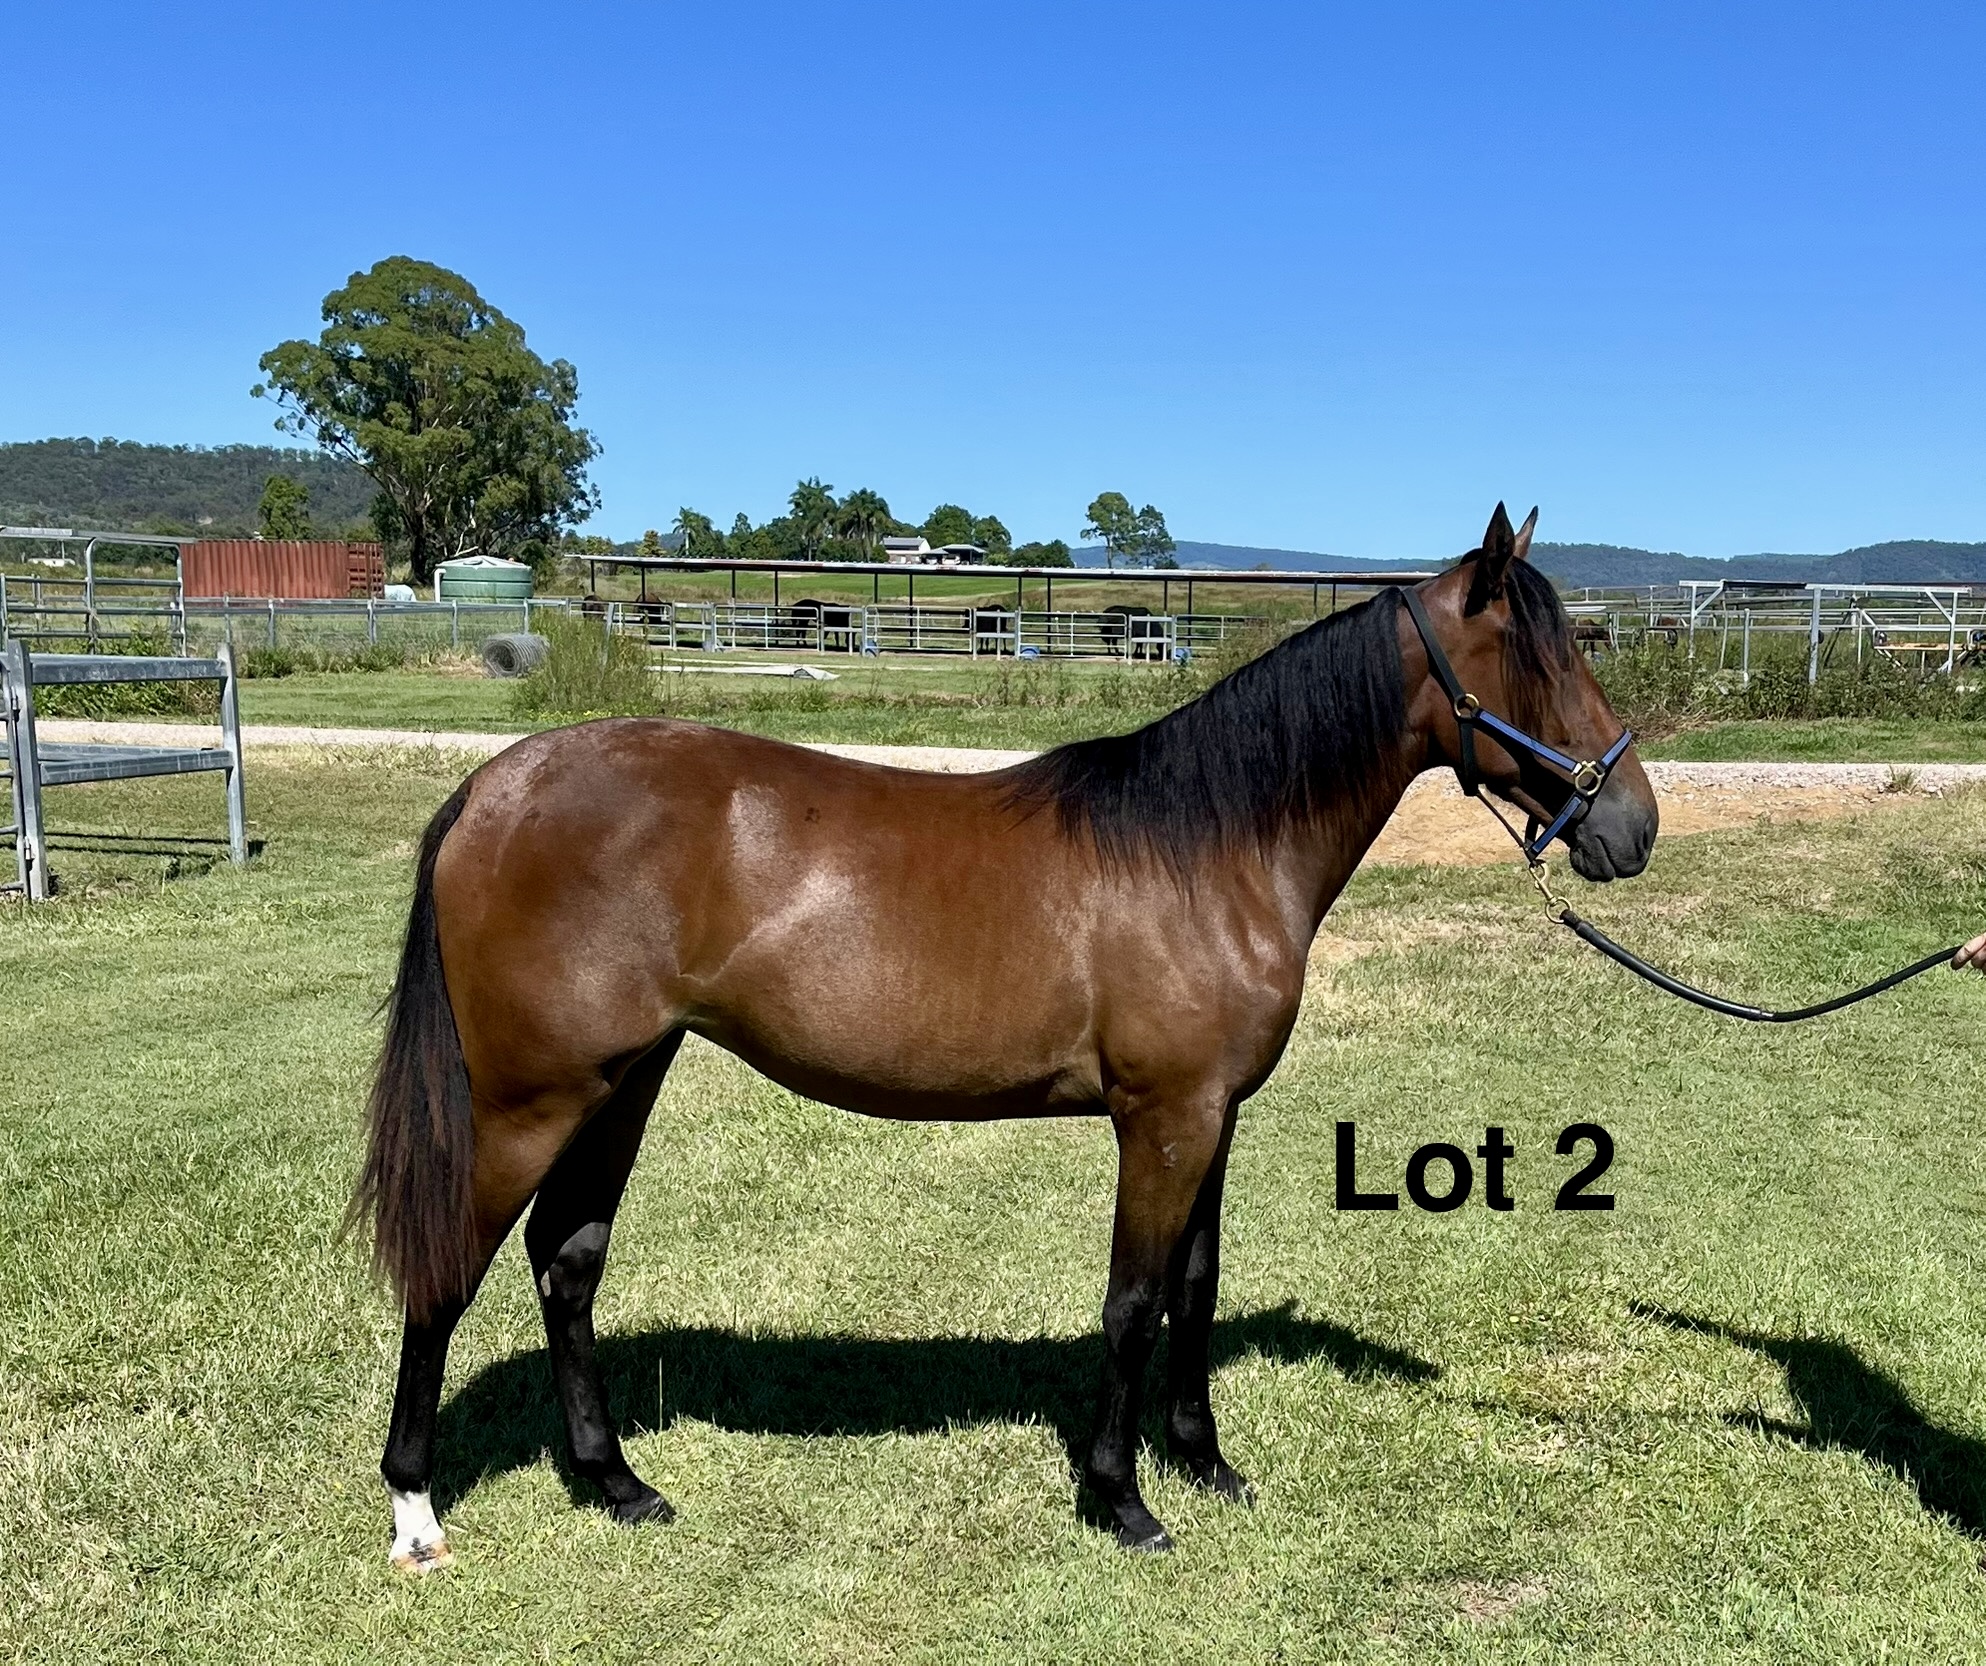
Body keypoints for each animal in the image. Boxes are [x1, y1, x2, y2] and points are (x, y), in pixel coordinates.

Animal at [355, 504, 1658, 1572]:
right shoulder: (1163, 1117)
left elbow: (1196, 1285)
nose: (1633, 826)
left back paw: (616, 1482)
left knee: (566, 1263)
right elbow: (1134, 1300)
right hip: (529, 1100)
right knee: (448, 1270)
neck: (1209, 847)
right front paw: (1122, 1501)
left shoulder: (1214, 1114)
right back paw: (415, 1511)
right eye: (1537, 657)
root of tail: (491, 789)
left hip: (623, 1081)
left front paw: (1207, 1461)